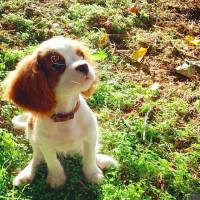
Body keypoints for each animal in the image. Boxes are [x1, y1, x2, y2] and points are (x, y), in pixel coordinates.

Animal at [3, 36, 116, 188]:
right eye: (56, 63)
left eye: (81, 55)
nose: (84, 65)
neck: (65, 115)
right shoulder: (46, 144)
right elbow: (52, 161)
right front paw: (57, 178)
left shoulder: (91, 136)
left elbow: (90, 156)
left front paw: (93, 173)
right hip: (31, 134)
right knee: (37, 156)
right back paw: (26, 174)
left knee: (82, 151)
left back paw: (102, 160)